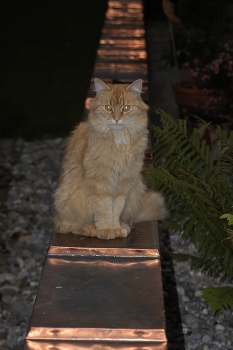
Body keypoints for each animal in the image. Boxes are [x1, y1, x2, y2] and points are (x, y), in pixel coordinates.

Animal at [54, 78, 167, 239]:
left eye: (126, 108)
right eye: (108, 107)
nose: (117, 119)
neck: (119, 141)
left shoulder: (124, 183)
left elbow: (116, 209)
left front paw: (116, 228)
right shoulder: (100, 182)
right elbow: (104, 209)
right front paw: (106, 230)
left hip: (136, 189)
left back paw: (123, 225)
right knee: (69, 227)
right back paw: (90, 229)